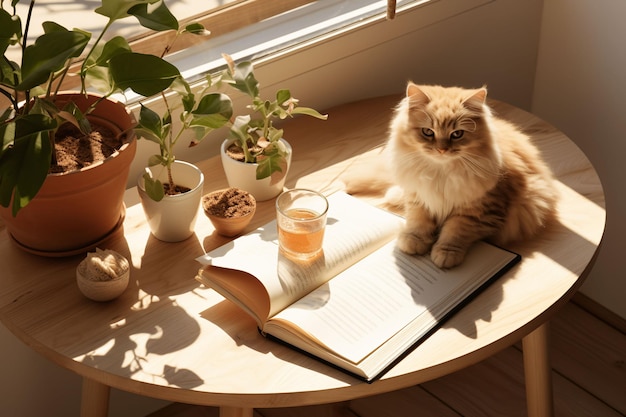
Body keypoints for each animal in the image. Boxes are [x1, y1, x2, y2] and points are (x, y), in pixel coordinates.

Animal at [344, 83, 552, 268]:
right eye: (428, 132)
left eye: (457, 134)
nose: (442, 150)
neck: (440, 172)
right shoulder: (419, 197)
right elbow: (418, 221)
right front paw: (414, 240)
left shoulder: (478, 210)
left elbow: (455, 231)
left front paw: (445, 254)